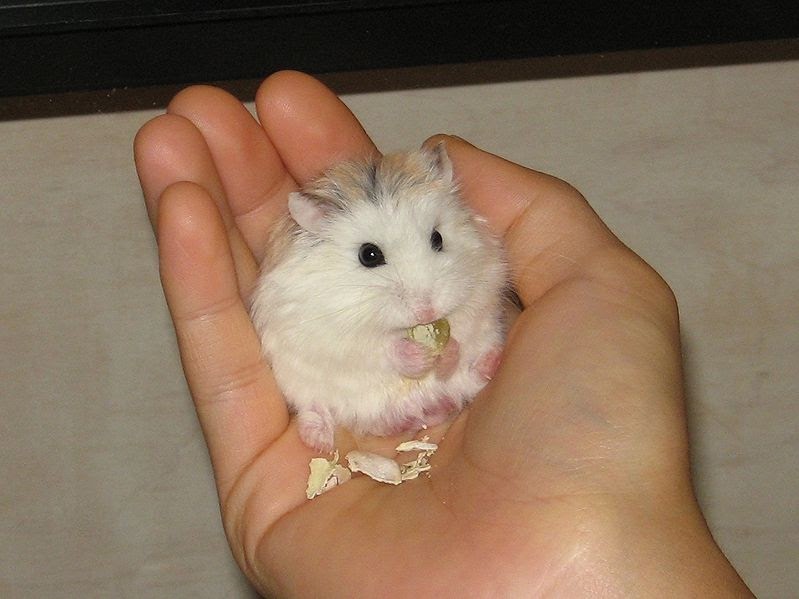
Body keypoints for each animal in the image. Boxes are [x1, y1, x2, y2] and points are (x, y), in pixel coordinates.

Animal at [249, 145, 508, 452]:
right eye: (368, 255)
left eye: (438, 238)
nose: (427, 312)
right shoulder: (330, 335)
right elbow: (379, 349)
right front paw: (415, 354)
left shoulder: (483, 291)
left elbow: (460, 338)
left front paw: (447, 351)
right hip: (301, 384)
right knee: (316, 407)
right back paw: (318, 439)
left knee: (469, 381)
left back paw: (488, 364)